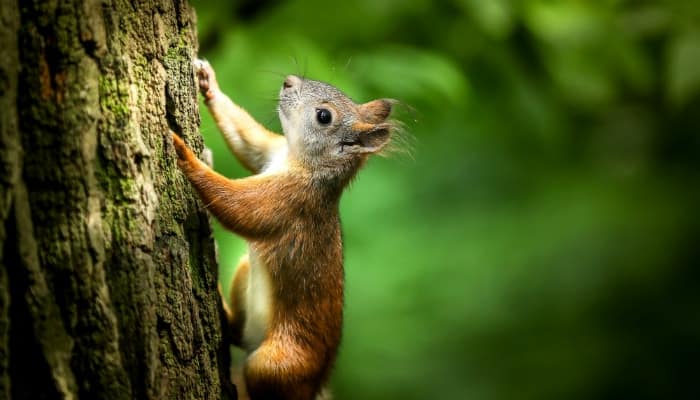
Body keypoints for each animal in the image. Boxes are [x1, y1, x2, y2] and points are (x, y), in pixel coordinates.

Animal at [172, 60, 396, 400]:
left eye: (323, 116)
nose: (288, 82)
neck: (300, 161)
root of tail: (315, 386)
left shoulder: (290, 201)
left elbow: (238, 207)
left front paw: (183, 153)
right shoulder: (271, 152)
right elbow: (249, 142)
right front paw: (208, 83)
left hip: (276, 365)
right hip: (244, 273)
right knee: (238, 332)